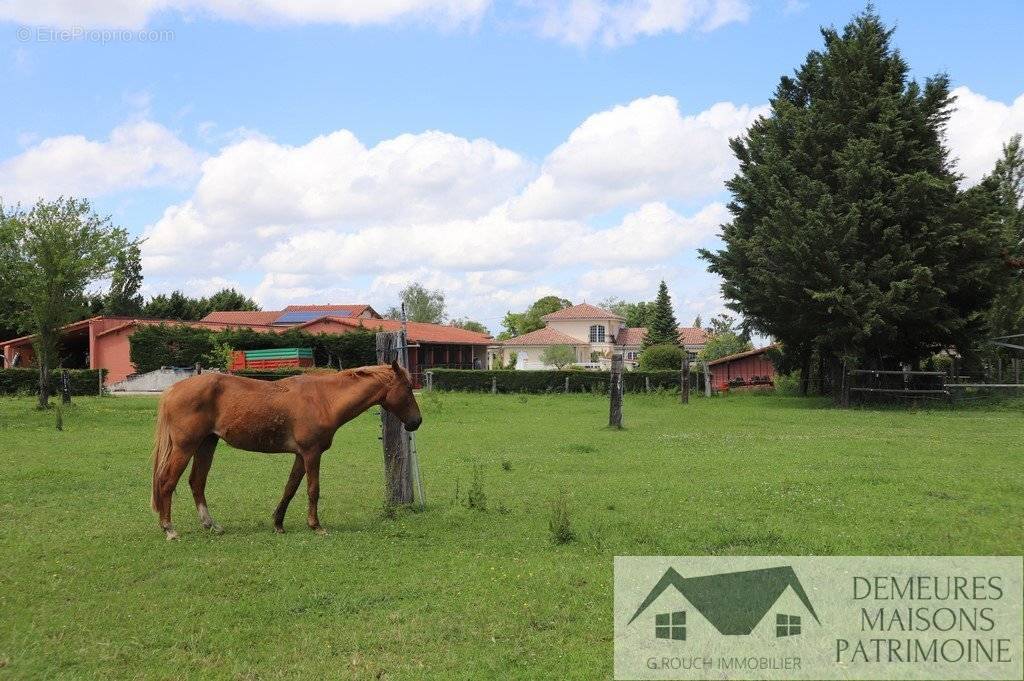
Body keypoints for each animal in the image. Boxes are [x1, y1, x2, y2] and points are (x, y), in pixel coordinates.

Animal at [149, 358, 419, 540]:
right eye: (407, 388)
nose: (416, 421)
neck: (324, 399)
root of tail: (172, 390)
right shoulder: (311, 454)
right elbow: (312, 490)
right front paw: (316, 525)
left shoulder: (300, 455)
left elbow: (290, 488)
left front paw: (278, 523)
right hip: (185, 447)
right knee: (167, 482)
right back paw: (169, 529)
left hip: (206, 444)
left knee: (197, 482)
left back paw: (211, 525)